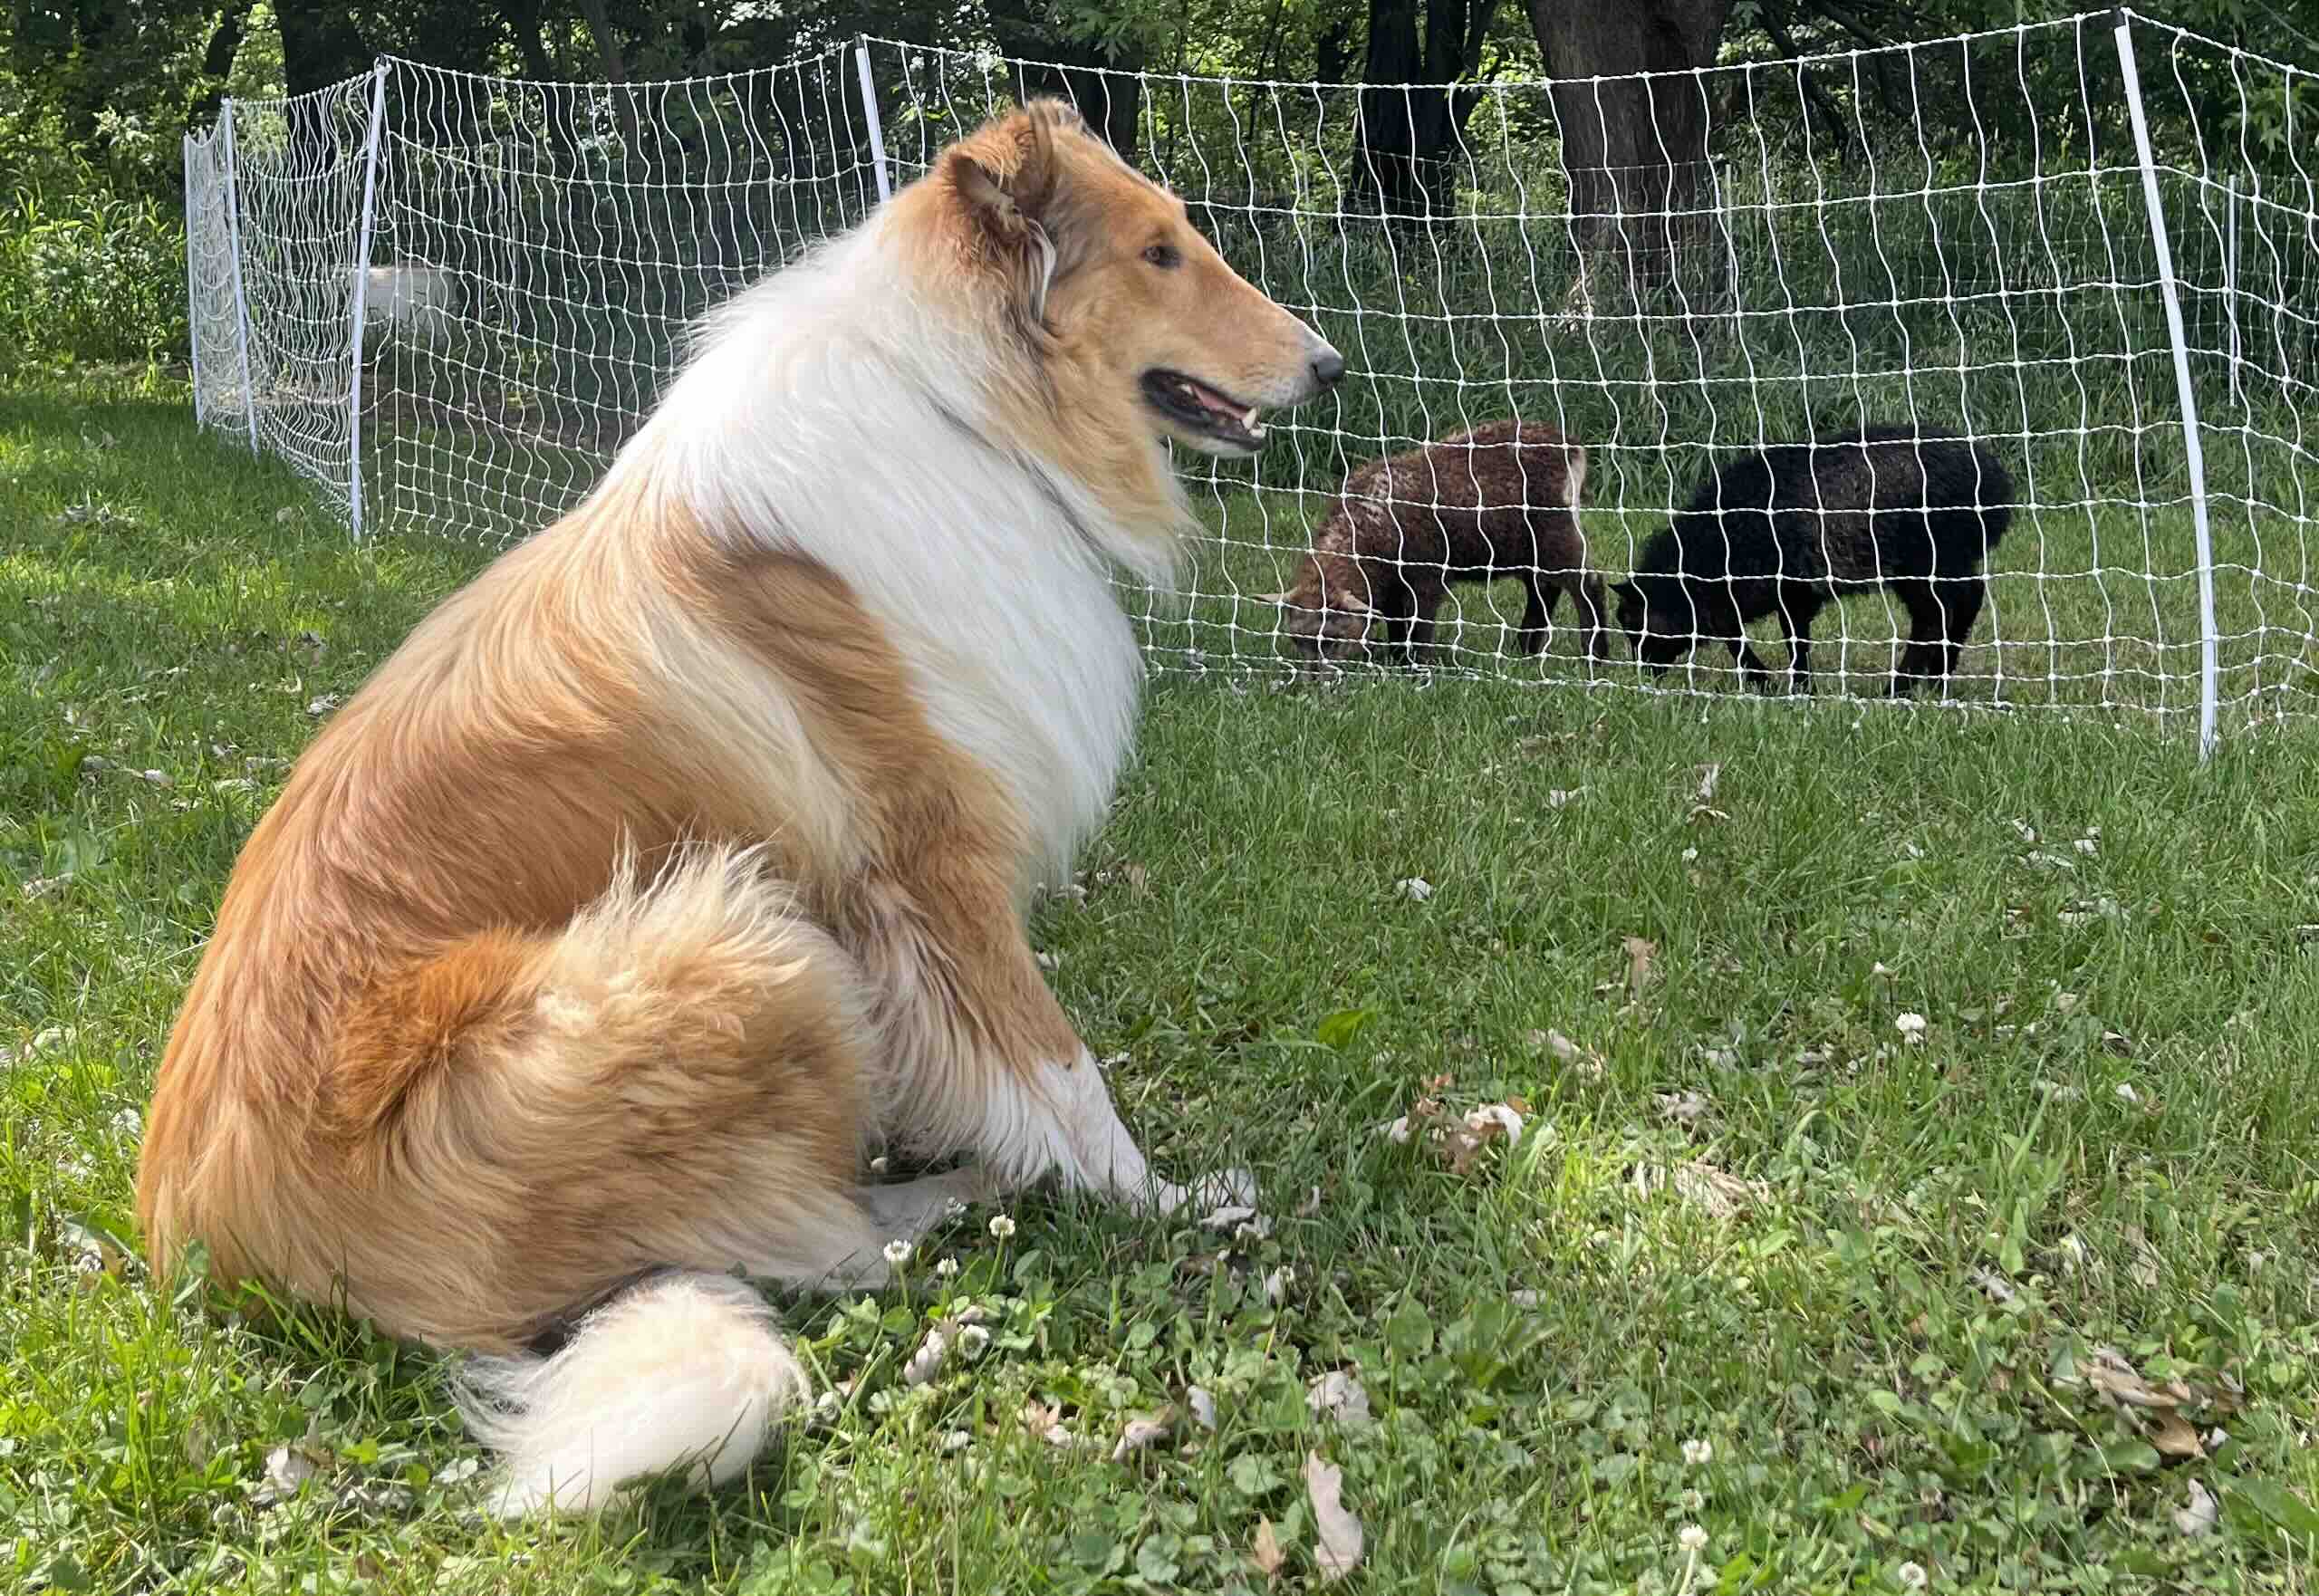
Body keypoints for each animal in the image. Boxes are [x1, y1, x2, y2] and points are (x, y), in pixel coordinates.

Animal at [1271, 420, 1610, 666]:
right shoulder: (1391, 585)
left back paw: (1595, 654)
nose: (1314, 682)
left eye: (1332, 640)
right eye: (1297, 640)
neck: (1368, 527)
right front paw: (1397, 658)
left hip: (1555, 533)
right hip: (1525, 547)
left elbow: (1420, 623)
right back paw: (1525, 648)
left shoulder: (1425, 578)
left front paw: (1418, 665)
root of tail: (1570, 446)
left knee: (1587, 585)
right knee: (1544, 590)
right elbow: (1396, 621)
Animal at [1609, 424, 2016, 696]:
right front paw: (1778, 682)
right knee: (1964, 601)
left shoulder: (1789, 586)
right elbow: (1738, 633)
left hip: (1926, 558)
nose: (1645, 674)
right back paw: (1938, 678)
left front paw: (1789, 685)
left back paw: (1901, 687)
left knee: (1936, 616)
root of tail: (1998, 483)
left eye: (1632, 623)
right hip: (1944, 559)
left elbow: (1785, 638)